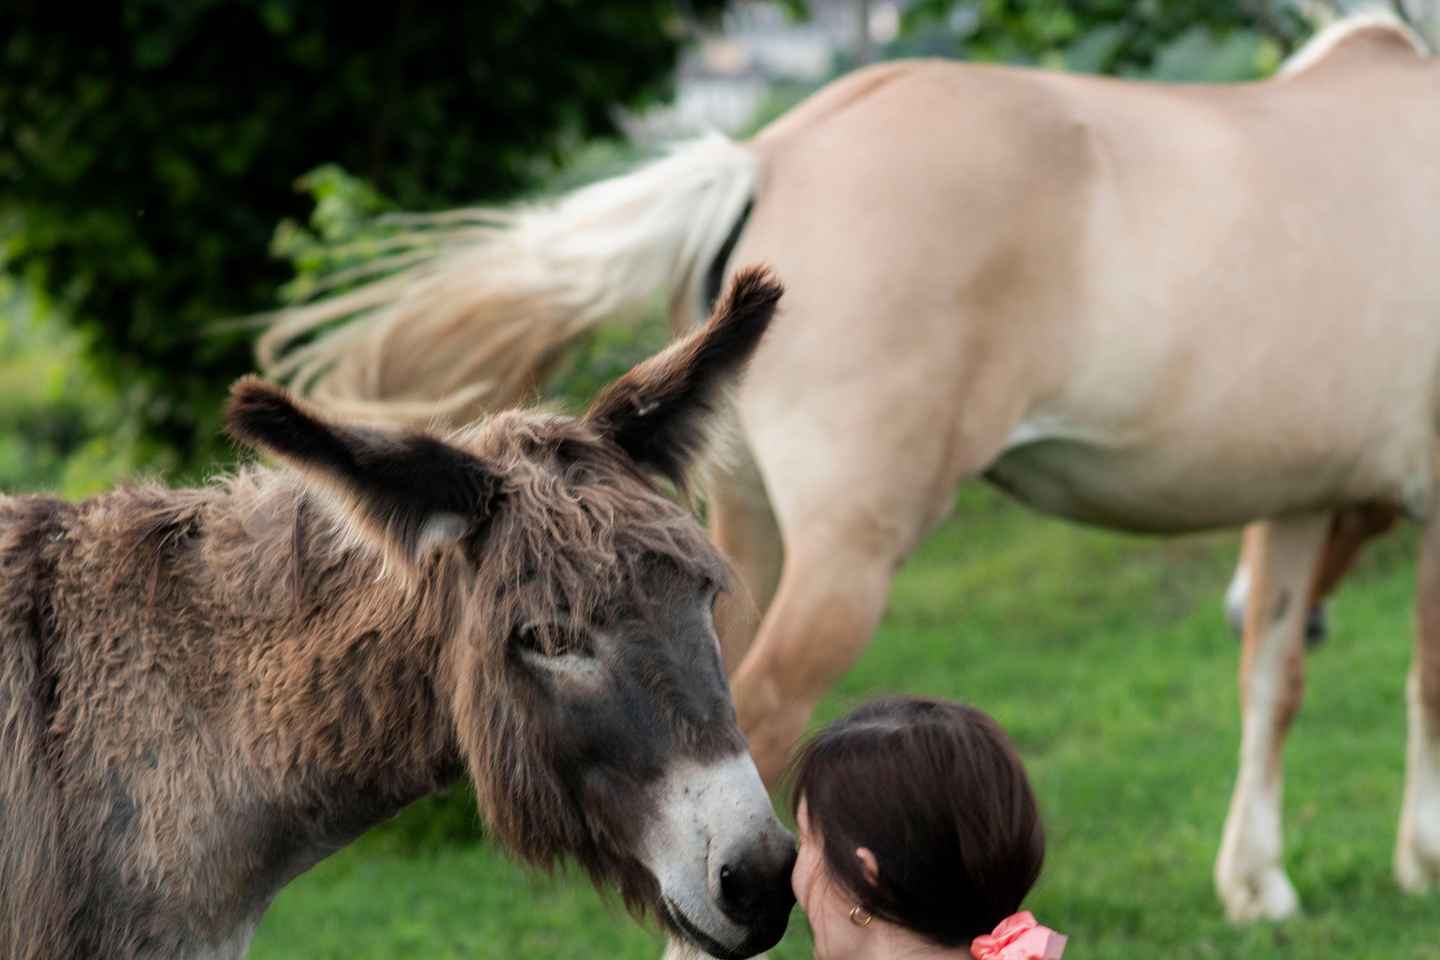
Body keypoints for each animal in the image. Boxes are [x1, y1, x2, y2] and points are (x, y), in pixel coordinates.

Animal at [253, 11, 1440, 922]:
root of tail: (767, 158)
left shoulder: (1298, 503)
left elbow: (1270, 681)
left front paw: (1258, 886)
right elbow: (1424, 671)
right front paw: (1418, 861)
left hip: (726, 542)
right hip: (845, 559)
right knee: (769, 726)